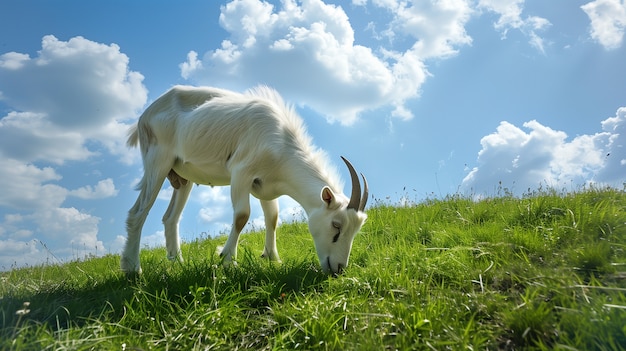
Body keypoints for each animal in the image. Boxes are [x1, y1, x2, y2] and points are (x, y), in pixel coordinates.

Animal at [121, 85, 366, 276]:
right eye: (336, 226)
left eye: (354, 230)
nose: (339, 269)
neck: (282, 143)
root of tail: (143, 117)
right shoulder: (241, 173)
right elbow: (241, 216)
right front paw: (228, 259)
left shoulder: (266, 186)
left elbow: (272, 218)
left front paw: (273, 258)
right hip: (158, 161)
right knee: (138, 211)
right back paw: (132, 268)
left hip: (182, 177)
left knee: (170, 217)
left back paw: (177, 264)